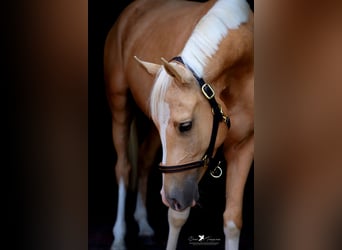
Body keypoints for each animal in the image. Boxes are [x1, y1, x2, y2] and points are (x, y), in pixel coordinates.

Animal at [104, 0, 254, 249]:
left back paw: (143, 224)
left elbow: (233, 222)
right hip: (119, 105)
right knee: (123, 168)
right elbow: (176, 217)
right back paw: (118, 237)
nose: (169, 197)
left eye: (185, 125)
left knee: (144, 160)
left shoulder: (243, 146)